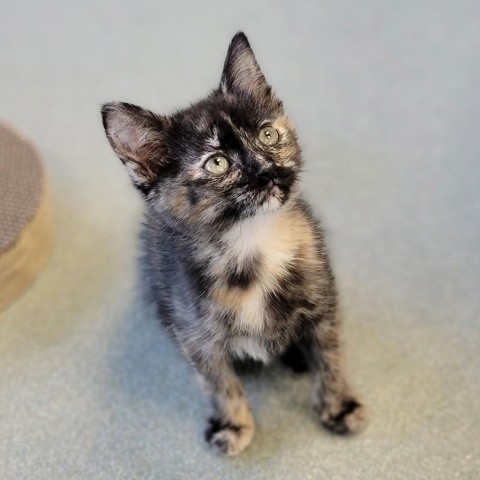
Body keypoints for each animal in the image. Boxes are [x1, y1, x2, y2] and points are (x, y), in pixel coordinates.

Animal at [100, 31, 364, 456]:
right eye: (218, 162)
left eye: (268, 134)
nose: (268, 170)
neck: (253, 241)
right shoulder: (196, 336)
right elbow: (218, 382)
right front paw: (235, 424)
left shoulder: (323, 303)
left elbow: (331, 356)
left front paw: (337, 405)